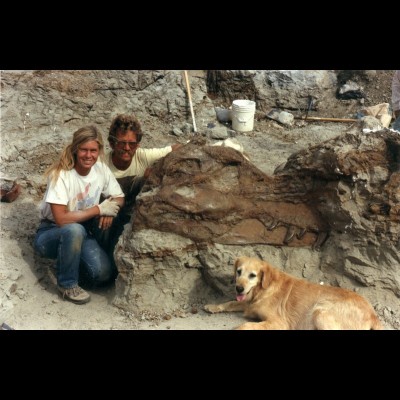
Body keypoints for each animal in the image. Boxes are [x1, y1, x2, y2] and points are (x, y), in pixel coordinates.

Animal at [205, 258, 382, 330]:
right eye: (239, 272)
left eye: (252, 275)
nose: (238, 288)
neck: (263, 290)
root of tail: (374, 315)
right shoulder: (247, 303)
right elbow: (231, 302)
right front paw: (212, 306)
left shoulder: (279, 322)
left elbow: (245, 325)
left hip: (320, 311)